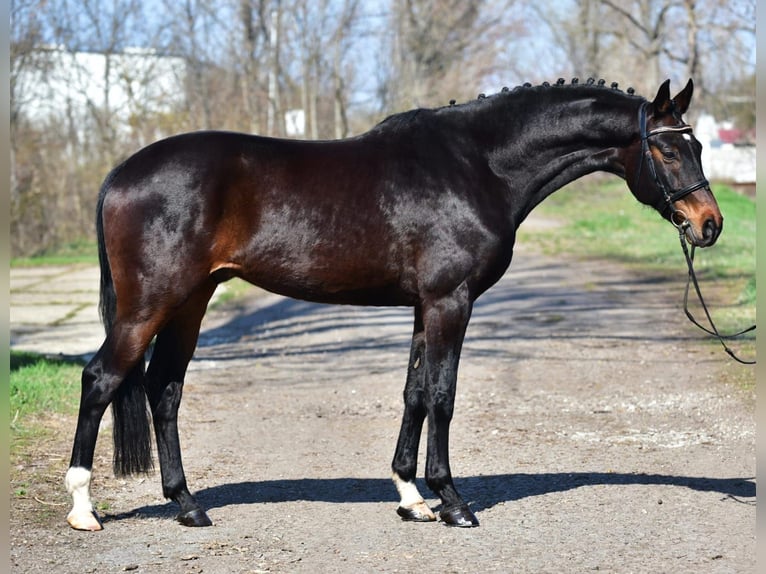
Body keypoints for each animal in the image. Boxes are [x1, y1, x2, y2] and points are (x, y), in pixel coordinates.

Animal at [65, 78, 721, 531]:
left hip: (191, 303)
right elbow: (443, 396)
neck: (478, 163)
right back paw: (84, 508)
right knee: (101, 379)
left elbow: (413, 394)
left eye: (699, 145)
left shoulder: (422, 306)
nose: (709, 224)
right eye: (668, 152)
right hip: (151, 305)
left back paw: (187, 504)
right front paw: (452, 502)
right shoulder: (450, 302)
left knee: (164, 390)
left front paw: (411, 499)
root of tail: (121, 173)